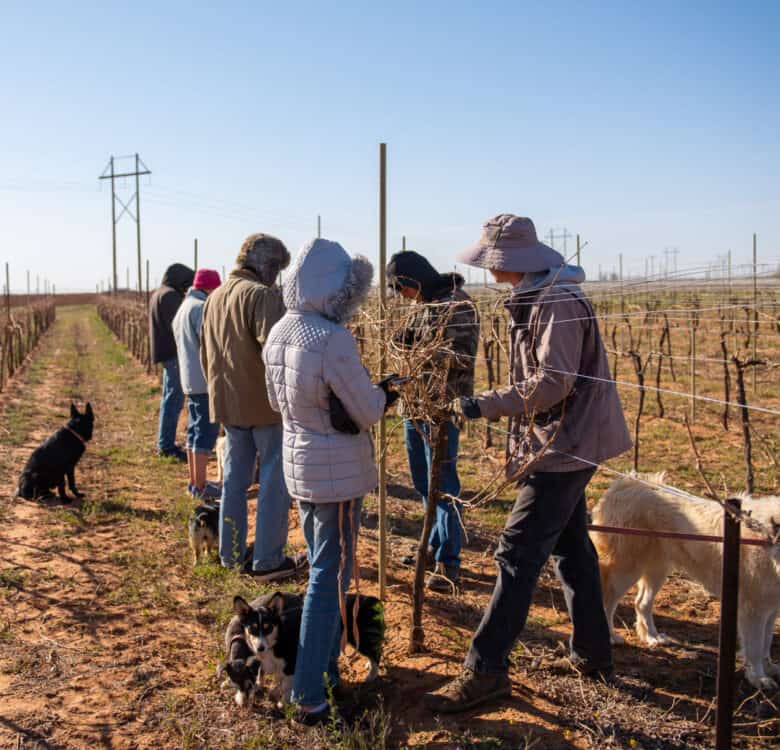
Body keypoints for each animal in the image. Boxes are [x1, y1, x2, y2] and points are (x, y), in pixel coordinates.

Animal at [233, 592, 386, 704]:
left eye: (268, 627)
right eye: (252, 629)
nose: (260, 648)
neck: (277, 639)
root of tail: (371, 599)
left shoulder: (291, 664)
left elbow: (286, 685)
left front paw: (282, 701)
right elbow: (262, 672)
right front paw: (259, 686)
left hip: (360, 637)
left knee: (376, 653)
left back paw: (371, 675)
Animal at [592, 476, 780, 692]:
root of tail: (623, 482)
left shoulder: (770, 608)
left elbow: (766, 643)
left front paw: (769, 668)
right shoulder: (754, 610)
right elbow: (756, 648)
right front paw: (759, 678)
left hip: (658, 568)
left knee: (641, 603)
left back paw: (652, 637)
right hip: (626, 569)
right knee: (607, 603)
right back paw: (611, 637)